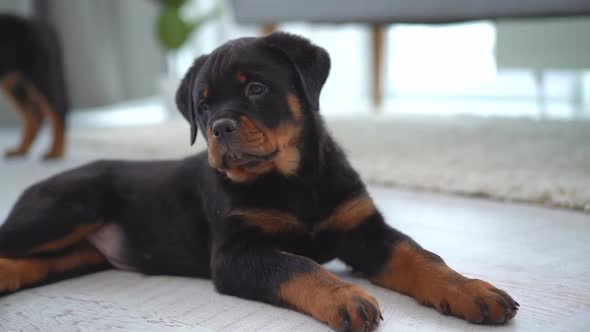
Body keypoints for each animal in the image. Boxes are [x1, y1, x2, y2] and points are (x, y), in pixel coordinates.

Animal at [0, 13, 69, 161]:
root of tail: (45, 27)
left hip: (41, 74)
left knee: (57, 110)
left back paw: (56, 152)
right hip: (14, 83)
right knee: (34, 116)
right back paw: (21, 150)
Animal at [0, 33, 520, 330]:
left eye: (255, 88)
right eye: (202, 105)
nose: (219, 127)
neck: (292, 180)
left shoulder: (363, 228)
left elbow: (422, 257)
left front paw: (473, 291)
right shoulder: (237, 253)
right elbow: (296, 266)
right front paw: (345, 296)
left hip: (75, 252)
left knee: (28, 263)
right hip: (63, 211)